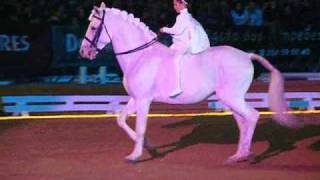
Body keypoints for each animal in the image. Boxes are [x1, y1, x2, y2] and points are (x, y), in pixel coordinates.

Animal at [80, 2, 300, 164]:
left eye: (93, 27)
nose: (83, 52)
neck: (140, 56)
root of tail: (246, 55)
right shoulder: (135, 99)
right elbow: (121, 120)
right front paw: (152, 149)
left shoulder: (143, 100)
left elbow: (140, 127)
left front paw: (135, 156)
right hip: (230, 99)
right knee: (243, 122)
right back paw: (240, 155)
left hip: (232, 98)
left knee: (252, 116)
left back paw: (249, 156)